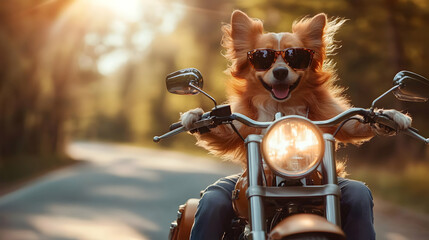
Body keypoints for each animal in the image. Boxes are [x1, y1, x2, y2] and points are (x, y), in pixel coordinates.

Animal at [179, 11, 410, 169]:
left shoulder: (331, 117)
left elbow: (357, 124)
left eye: (296, 57)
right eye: (262, 58)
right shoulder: (239, 128)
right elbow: (219, 130)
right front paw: (193, 115)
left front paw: (393, 116)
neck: (282, 106)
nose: (281, 72)